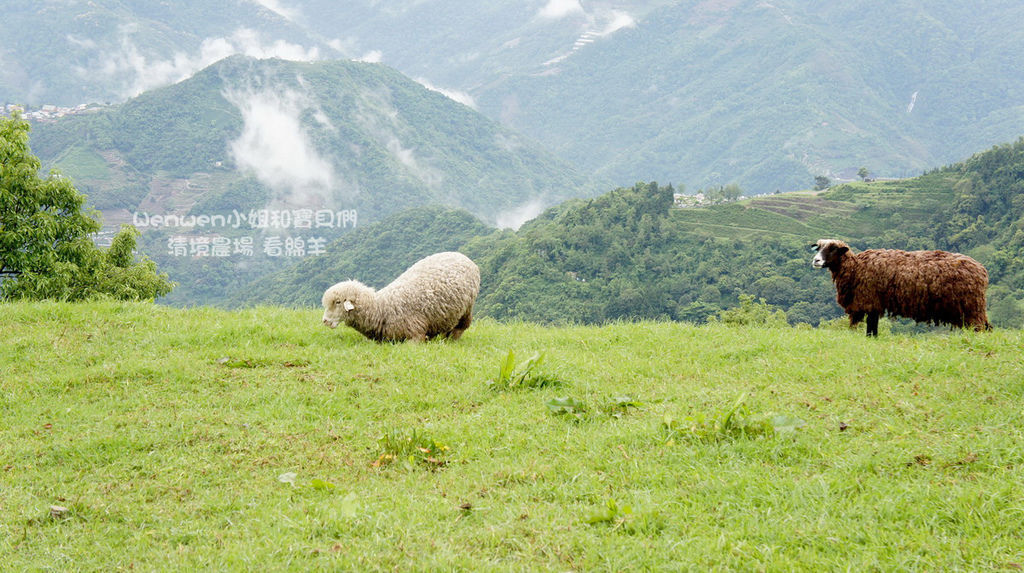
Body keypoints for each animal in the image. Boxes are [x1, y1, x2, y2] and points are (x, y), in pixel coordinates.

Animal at [319, 250, 479, 339]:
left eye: (338, 302)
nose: (325, 321)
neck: (381, 308)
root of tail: (460, 255)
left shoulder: (415, 334)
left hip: (466, 309)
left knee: (461, 327)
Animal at [811, 238, 987, 335]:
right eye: (818, 248)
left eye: (833, 249)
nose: (816, 261)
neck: (855, 268)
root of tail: (981, 270)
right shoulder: (874, 305)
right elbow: (873, 330)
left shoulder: (870, 302)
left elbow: (870, 329)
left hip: (971, 307)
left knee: (980, 329)